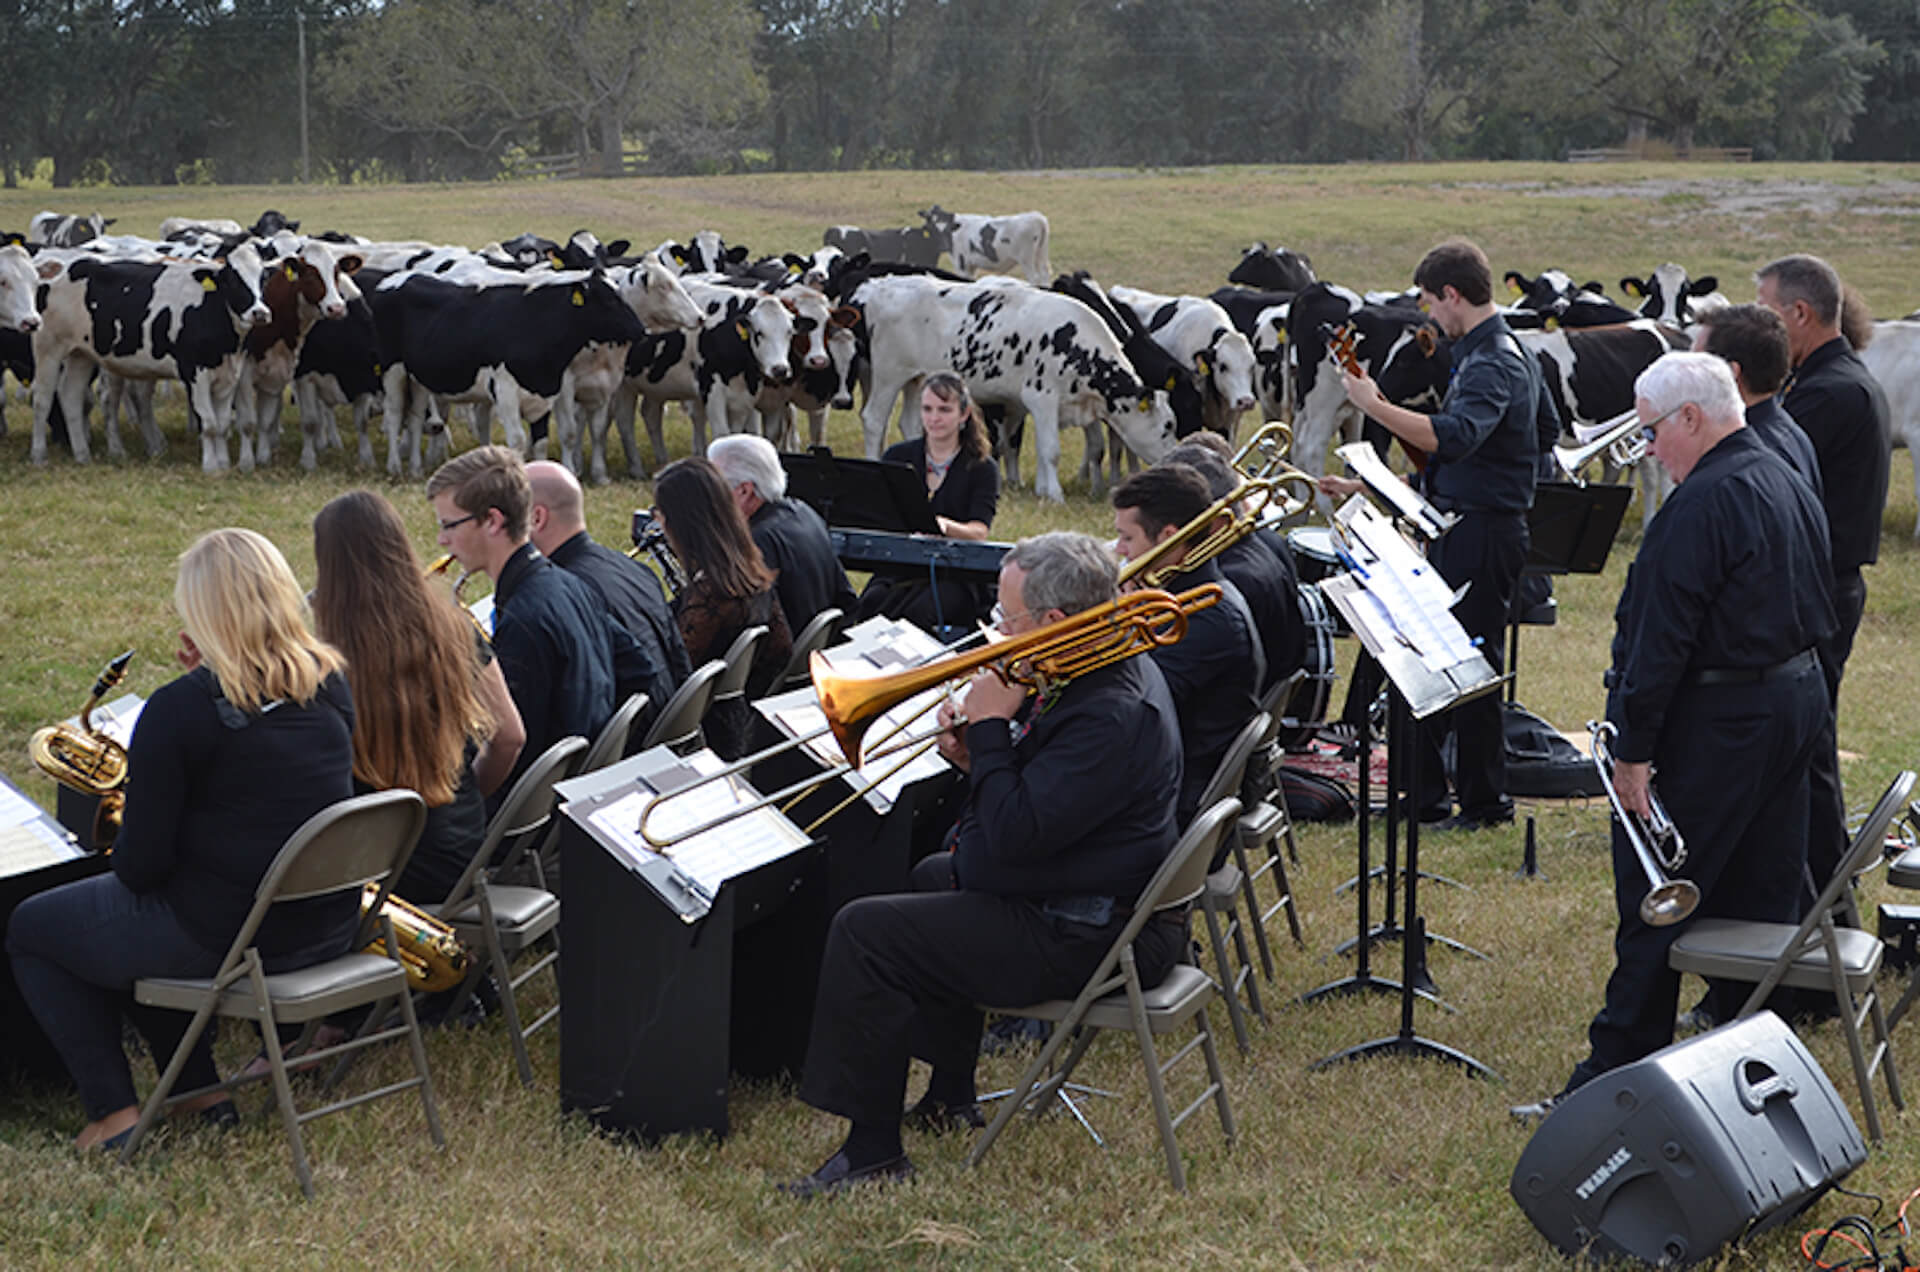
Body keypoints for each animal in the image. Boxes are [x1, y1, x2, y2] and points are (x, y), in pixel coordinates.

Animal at [31, 243, 272, 468]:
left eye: (262, 279)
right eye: (233, 280)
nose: (260, 313)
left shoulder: (228, 374)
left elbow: (221, 424)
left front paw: (223, 463)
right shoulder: (195, 373)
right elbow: (210, 424)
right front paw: (211, 466)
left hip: (81, 355)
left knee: (70, 395)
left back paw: (82, 455)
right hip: (48, 350)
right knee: (42, 400)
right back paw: (40, 455)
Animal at [852, 274, 1167, 503]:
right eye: (1168, 427)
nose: (1172, 461)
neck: (1074, 343)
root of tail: (880, 287)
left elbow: (1032, 445)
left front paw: (1043, 488)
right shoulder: (1041, 397)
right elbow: (1050, 449)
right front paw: (1054, 495)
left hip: (919, 380)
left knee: (911, 425)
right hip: (889, 374)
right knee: (874, 420)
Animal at [921, 206, 1059, 286]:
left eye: (927, 226)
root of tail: (1036, 217)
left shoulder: (961, 263)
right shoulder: (971, 266)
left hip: (1026, 259)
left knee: (1034, 278)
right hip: (1041, 255)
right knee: (1045, 276)